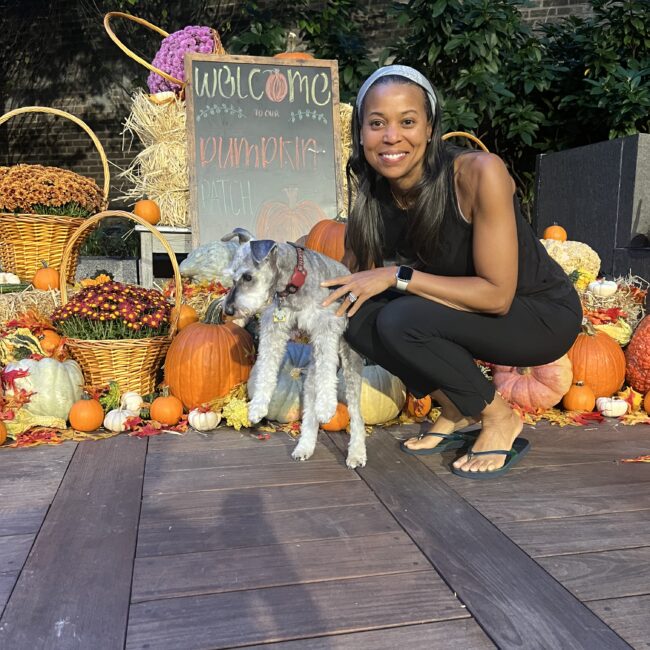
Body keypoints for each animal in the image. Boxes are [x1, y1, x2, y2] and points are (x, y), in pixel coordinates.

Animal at [221, 228, 364, 466]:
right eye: (232, 277)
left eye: (248, 276)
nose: (229, 311)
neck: (294, 282)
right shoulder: (274, 328)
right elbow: (266, 368)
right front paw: (258, 407)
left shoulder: (326, 327)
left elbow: (328, 372)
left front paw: (327, 407)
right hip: (311, 372)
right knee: (310, 408)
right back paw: (305, 446)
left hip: (349, 360)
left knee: (356, 412)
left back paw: (357, 452)